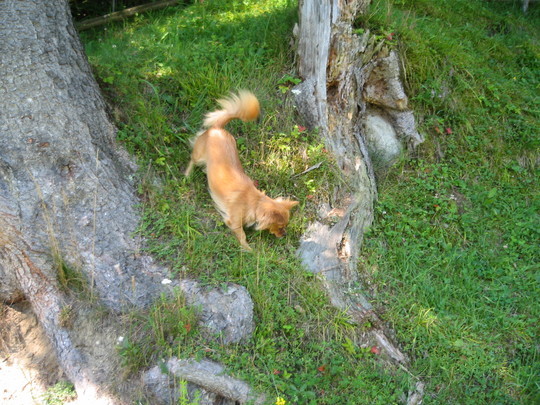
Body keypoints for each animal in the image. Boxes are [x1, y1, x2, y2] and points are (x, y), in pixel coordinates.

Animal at [185, 90, 296, 251]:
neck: (254, 203)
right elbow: (242, 235)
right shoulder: (234, 221)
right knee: (192, 161)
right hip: (199, 155)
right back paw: (187, 175)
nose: (285, 234)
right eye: (280, 226)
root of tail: (218, 128)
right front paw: (248, 250)